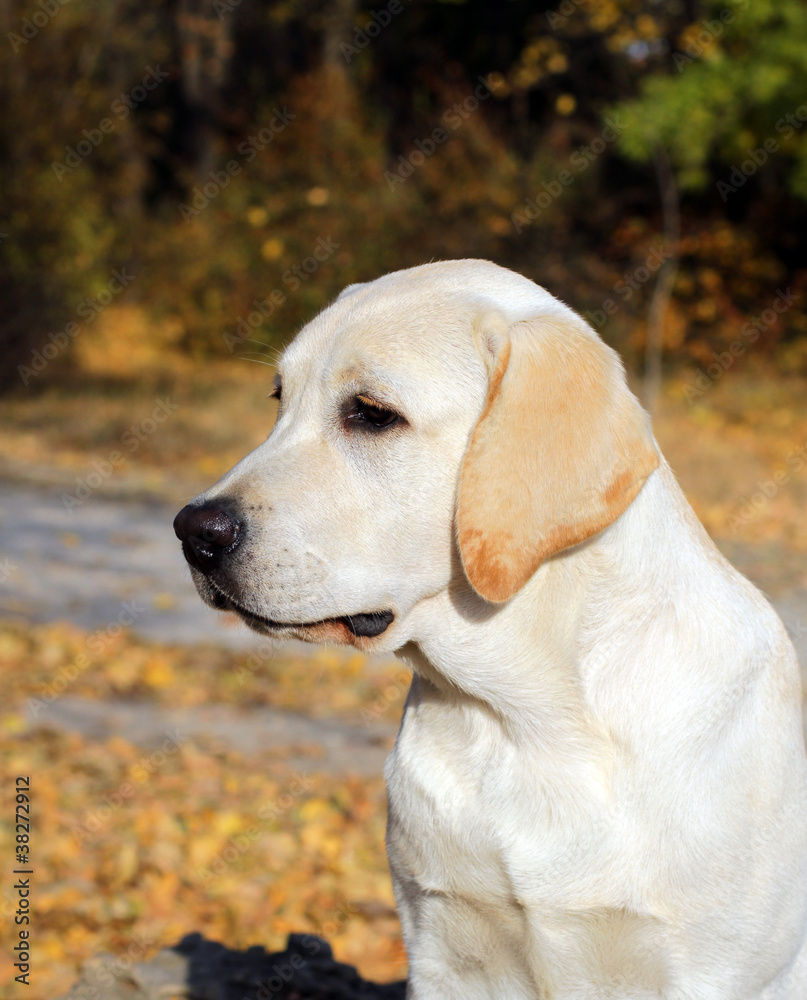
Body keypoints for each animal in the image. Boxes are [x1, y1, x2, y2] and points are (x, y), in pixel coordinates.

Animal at [175, 262, 807, 996]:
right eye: (280, 398)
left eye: (372, 413)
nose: (193, 532)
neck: (525, 719)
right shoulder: (442, 952)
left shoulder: (711, 971)